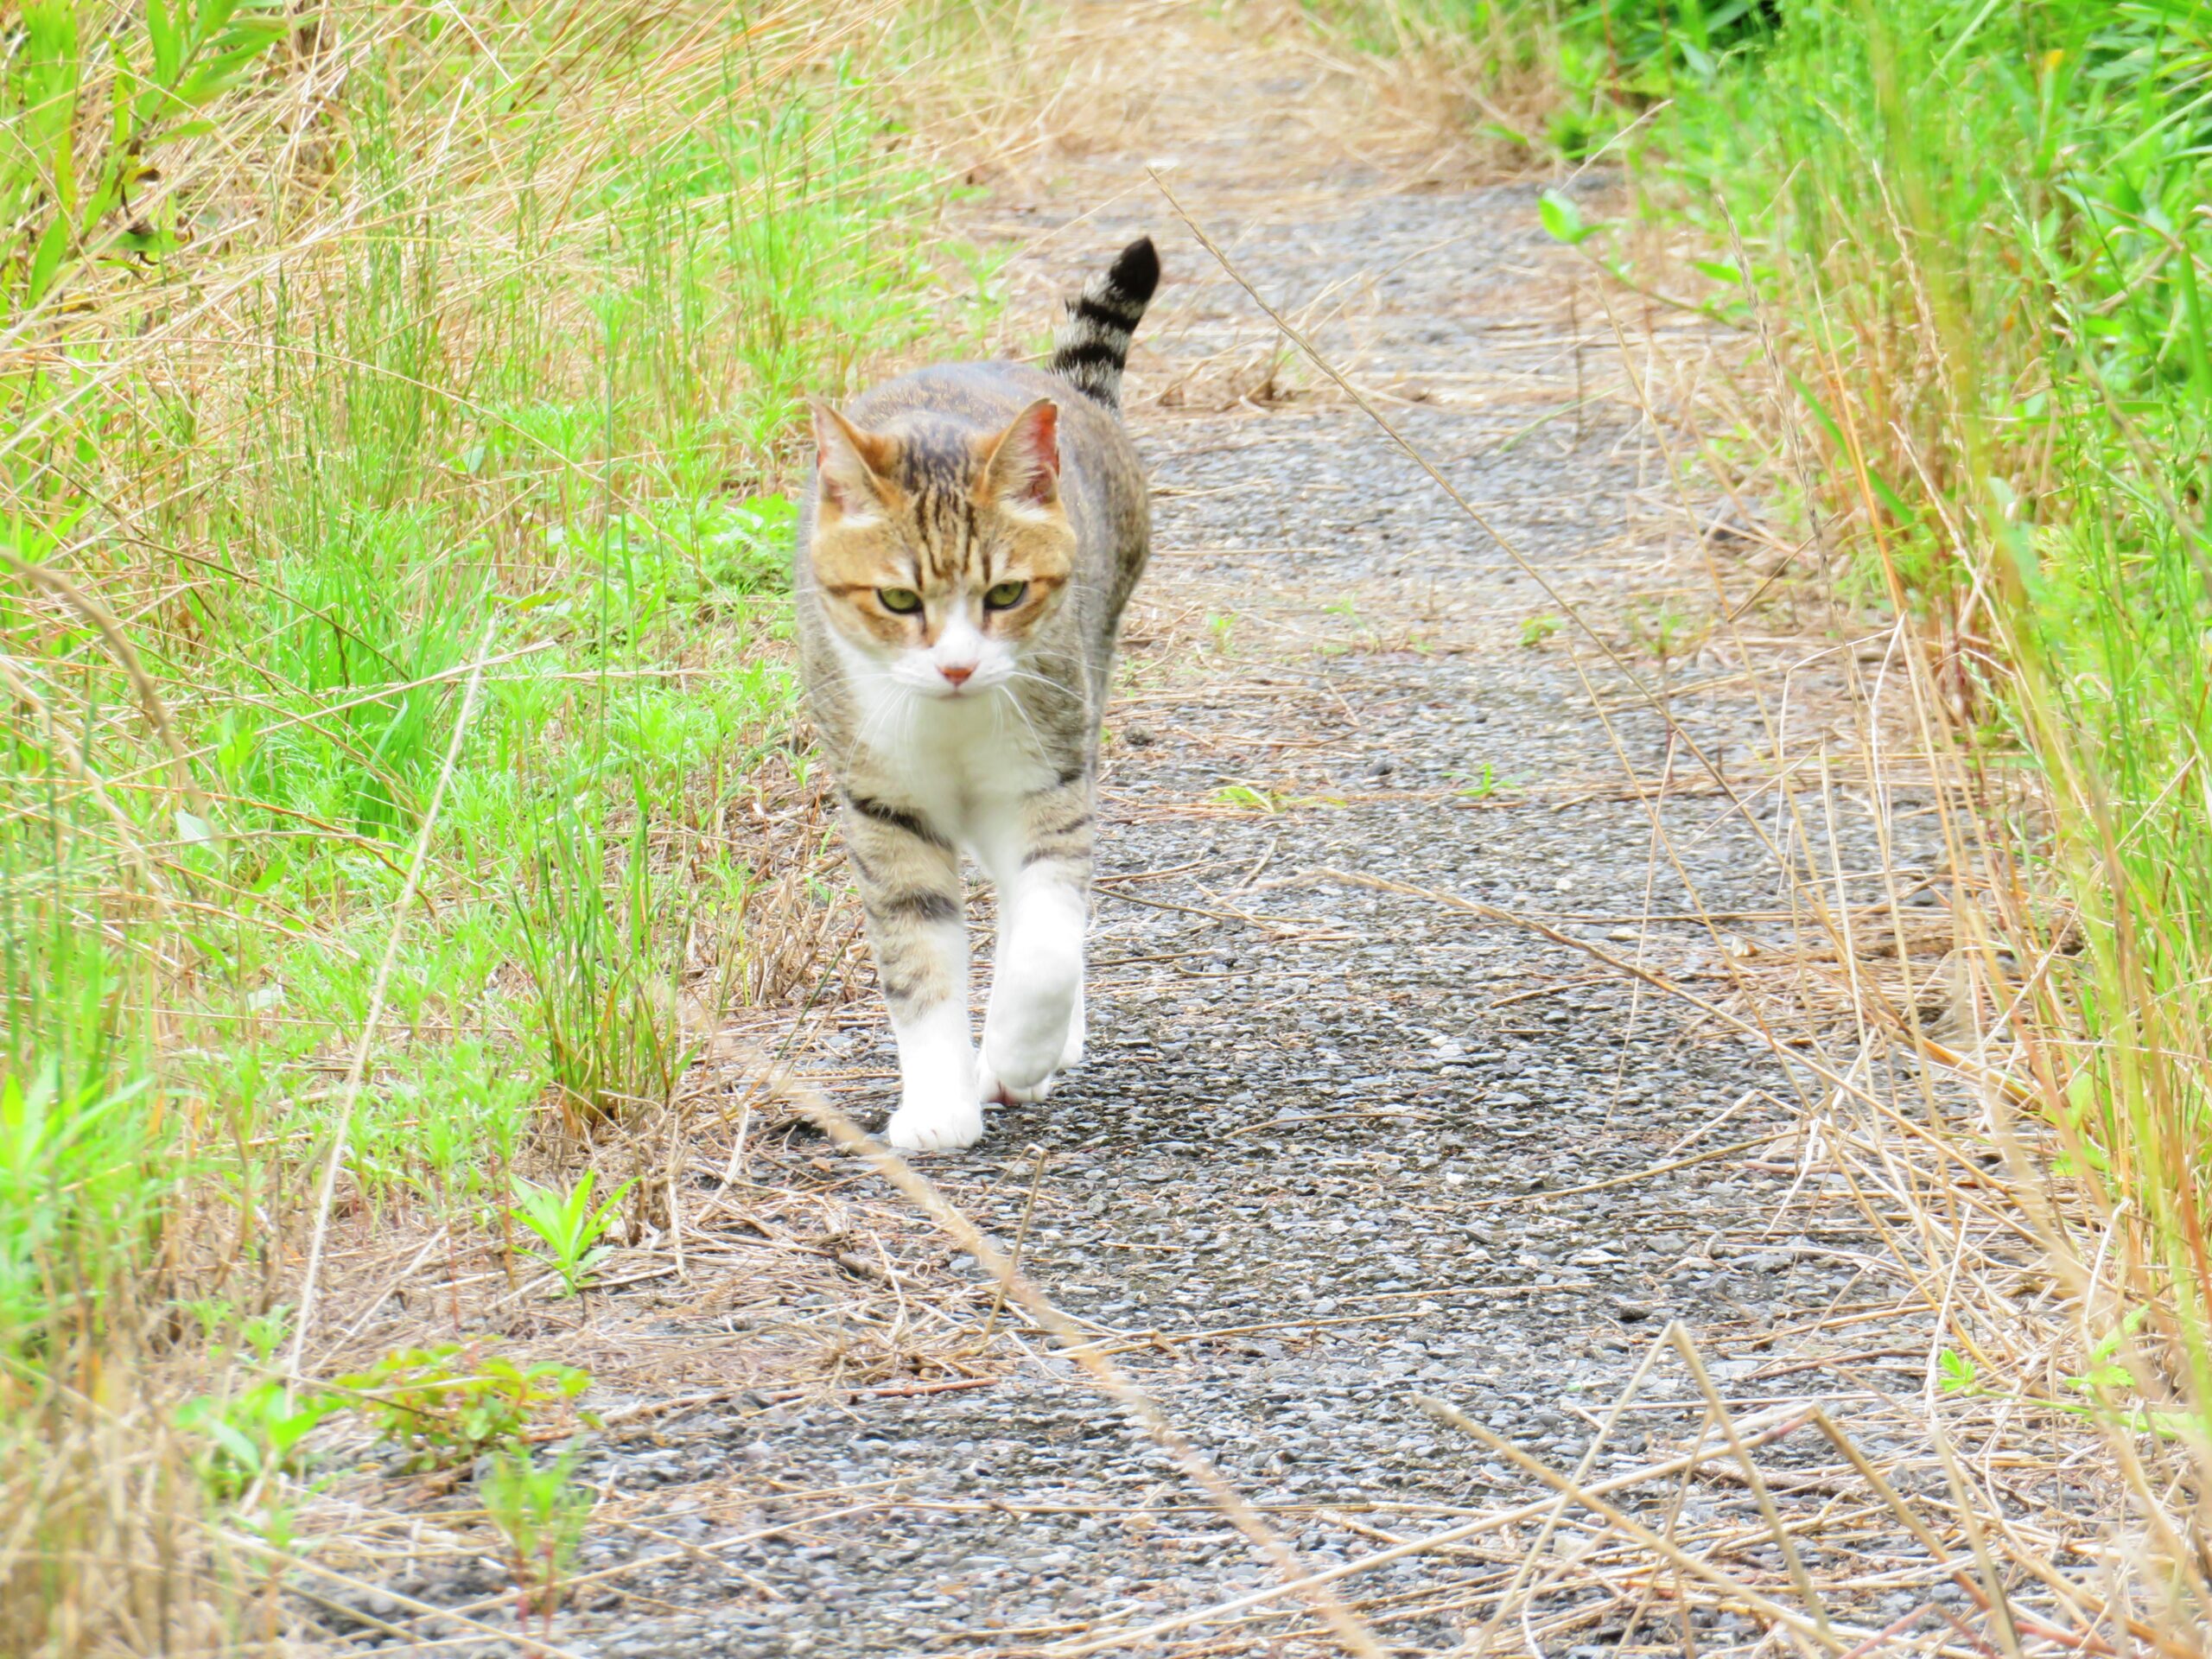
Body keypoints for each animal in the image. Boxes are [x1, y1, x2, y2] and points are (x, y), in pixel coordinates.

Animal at [796, 234, 1159, 1150]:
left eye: (1005, 593)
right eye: (897, 600)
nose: (958, 667)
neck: (951, 725)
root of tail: (1070, 391)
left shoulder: (1047, 777)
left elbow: (1047, 942)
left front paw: (1015, 1055)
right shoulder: (882, 805)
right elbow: (917, 958)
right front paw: (938, 1105)